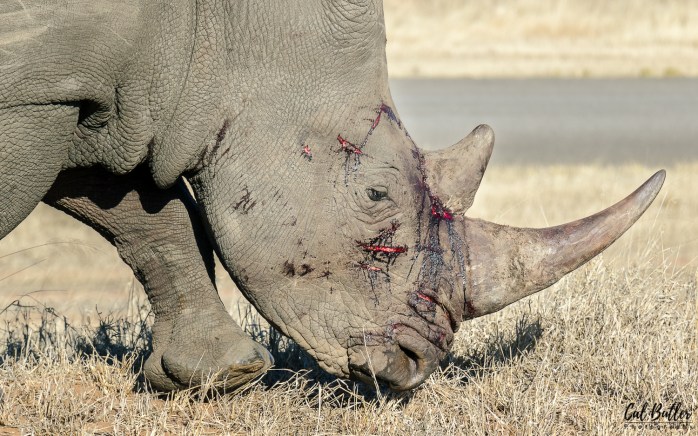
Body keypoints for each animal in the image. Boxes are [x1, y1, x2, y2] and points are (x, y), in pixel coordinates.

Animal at [0, 0, 664, 392]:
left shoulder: (91, 98)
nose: (413, 365)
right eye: (375, 193)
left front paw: (222, 372)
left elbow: (149, 217)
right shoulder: (41, 90)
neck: (219, 23)